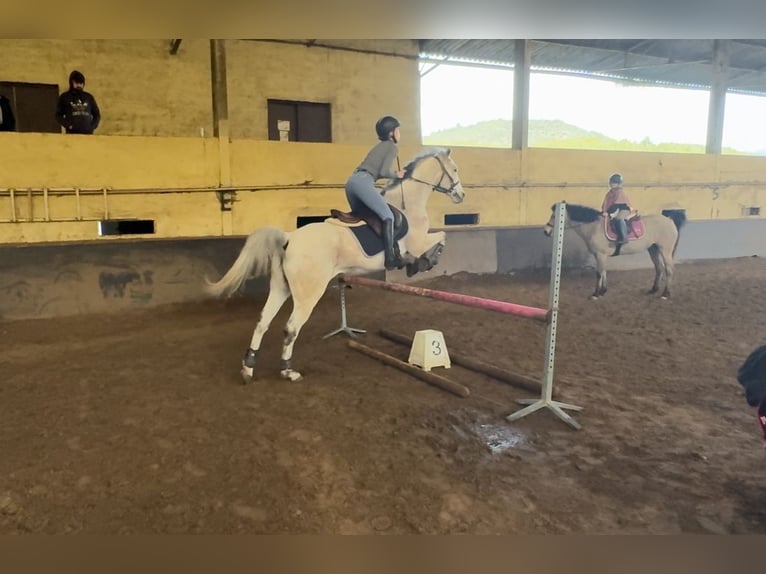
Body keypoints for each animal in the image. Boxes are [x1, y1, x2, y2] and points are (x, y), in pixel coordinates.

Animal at [206, 147, 468, 382]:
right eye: (455, 169)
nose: (461, 195)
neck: (409, 203)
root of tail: (289, 238)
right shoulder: (418, 242)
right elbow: (442, 236)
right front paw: (425, 262)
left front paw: (418, 264)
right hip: (308, 294)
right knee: (291, 328)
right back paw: (288, 371)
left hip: (281, 288)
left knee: (262, 323)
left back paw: (248, 368)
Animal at [544, 204, 688, 302]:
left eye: (554, 216)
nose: (546, 231)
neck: (594, 227)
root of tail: (669, 220)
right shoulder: (600, 255)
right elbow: (603, 271)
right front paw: (603, 291)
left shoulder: (601, 255)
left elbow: (599, 273)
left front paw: (596, 294)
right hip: (653, 249)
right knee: (659, 268)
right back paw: (653, 290)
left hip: (665, 250)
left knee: (669, 269)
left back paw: (665, 294)